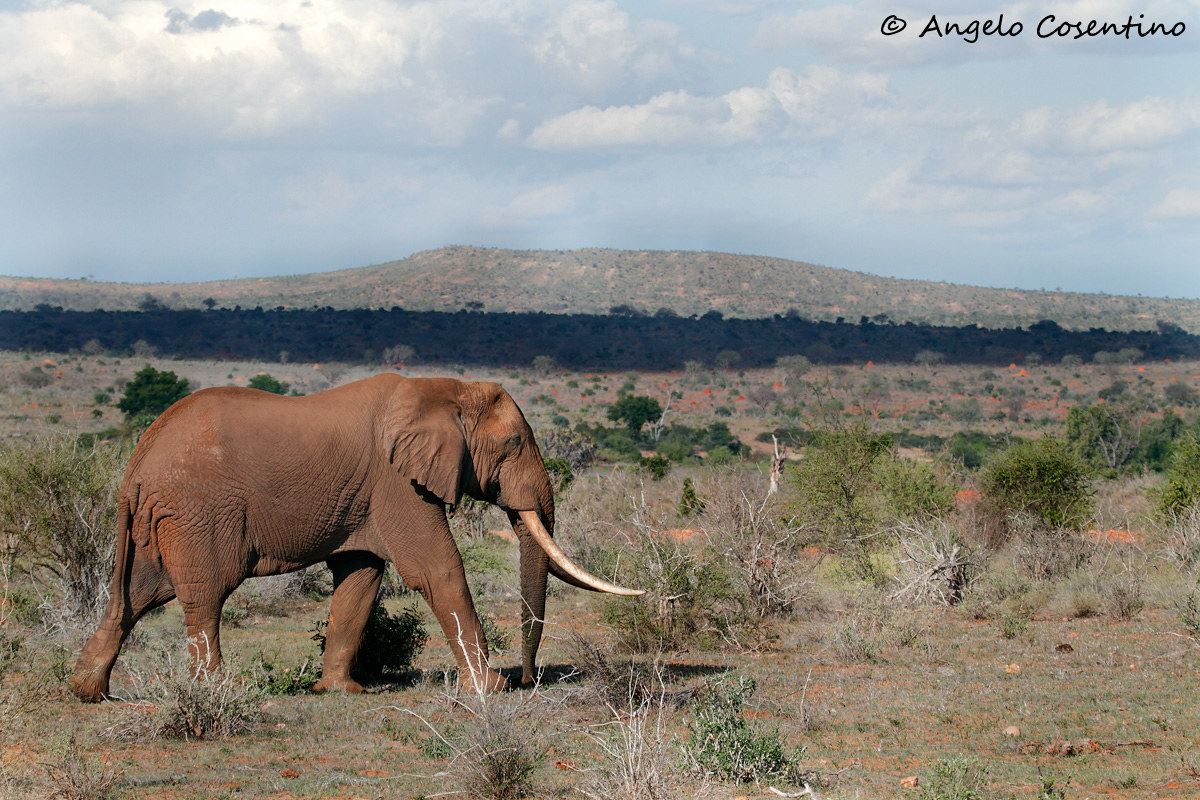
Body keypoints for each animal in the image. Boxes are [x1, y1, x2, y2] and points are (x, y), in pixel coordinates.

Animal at [70, 374, 640, 701]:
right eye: (515, 442)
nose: (527, 679)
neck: (440, 389)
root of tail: (135, 464)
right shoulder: (395, 481)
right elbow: (436, 567)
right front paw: (490, 689)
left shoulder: (369, 496)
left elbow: (362, 579)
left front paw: (342, 691)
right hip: (197, 513)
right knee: (205, 597)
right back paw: (216, 691)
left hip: (159, 522)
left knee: (136, 595)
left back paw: (86, 691)